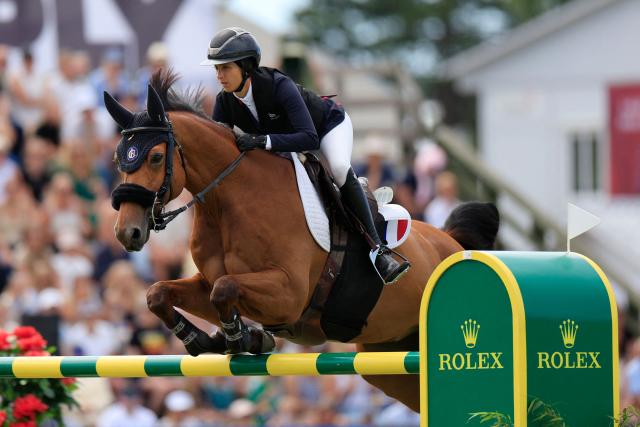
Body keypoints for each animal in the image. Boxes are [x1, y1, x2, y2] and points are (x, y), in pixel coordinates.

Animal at [105, 69, 500, 412]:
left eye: (156, 157)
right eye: (118, 159)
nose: (128, 232)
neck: (229, 201)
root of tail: (453, 243)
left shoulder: (288, 294)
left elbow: (225, 289)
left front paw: (239, 338)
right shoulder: (207, 282)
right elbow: (159, 294)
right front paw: (209, 339)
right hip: (391, 362)